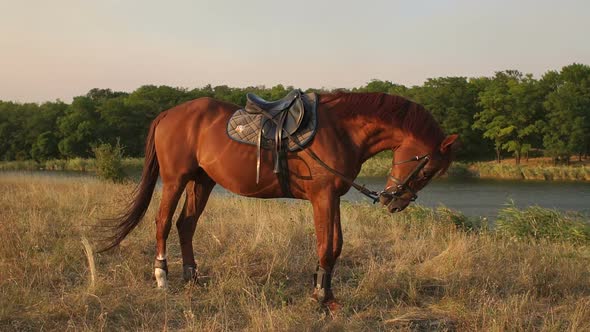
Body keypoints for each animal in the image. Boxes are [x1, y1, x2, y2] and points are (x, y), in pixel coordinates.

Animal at [102, 91, 460, 308]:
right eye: (429, 169)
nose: (392, 201)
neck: (341, 130)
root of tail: (168, 114)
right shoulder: (322, 197)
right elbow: (326, 246)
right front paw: (321, 299)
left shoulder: (333, 197)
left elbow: (336, 245)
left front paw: (327, 294)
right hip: (176, 180)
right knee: (162, 222)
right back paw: (162, 277)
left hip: (202, 182)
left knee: (185, 225)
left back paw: (193, 278)